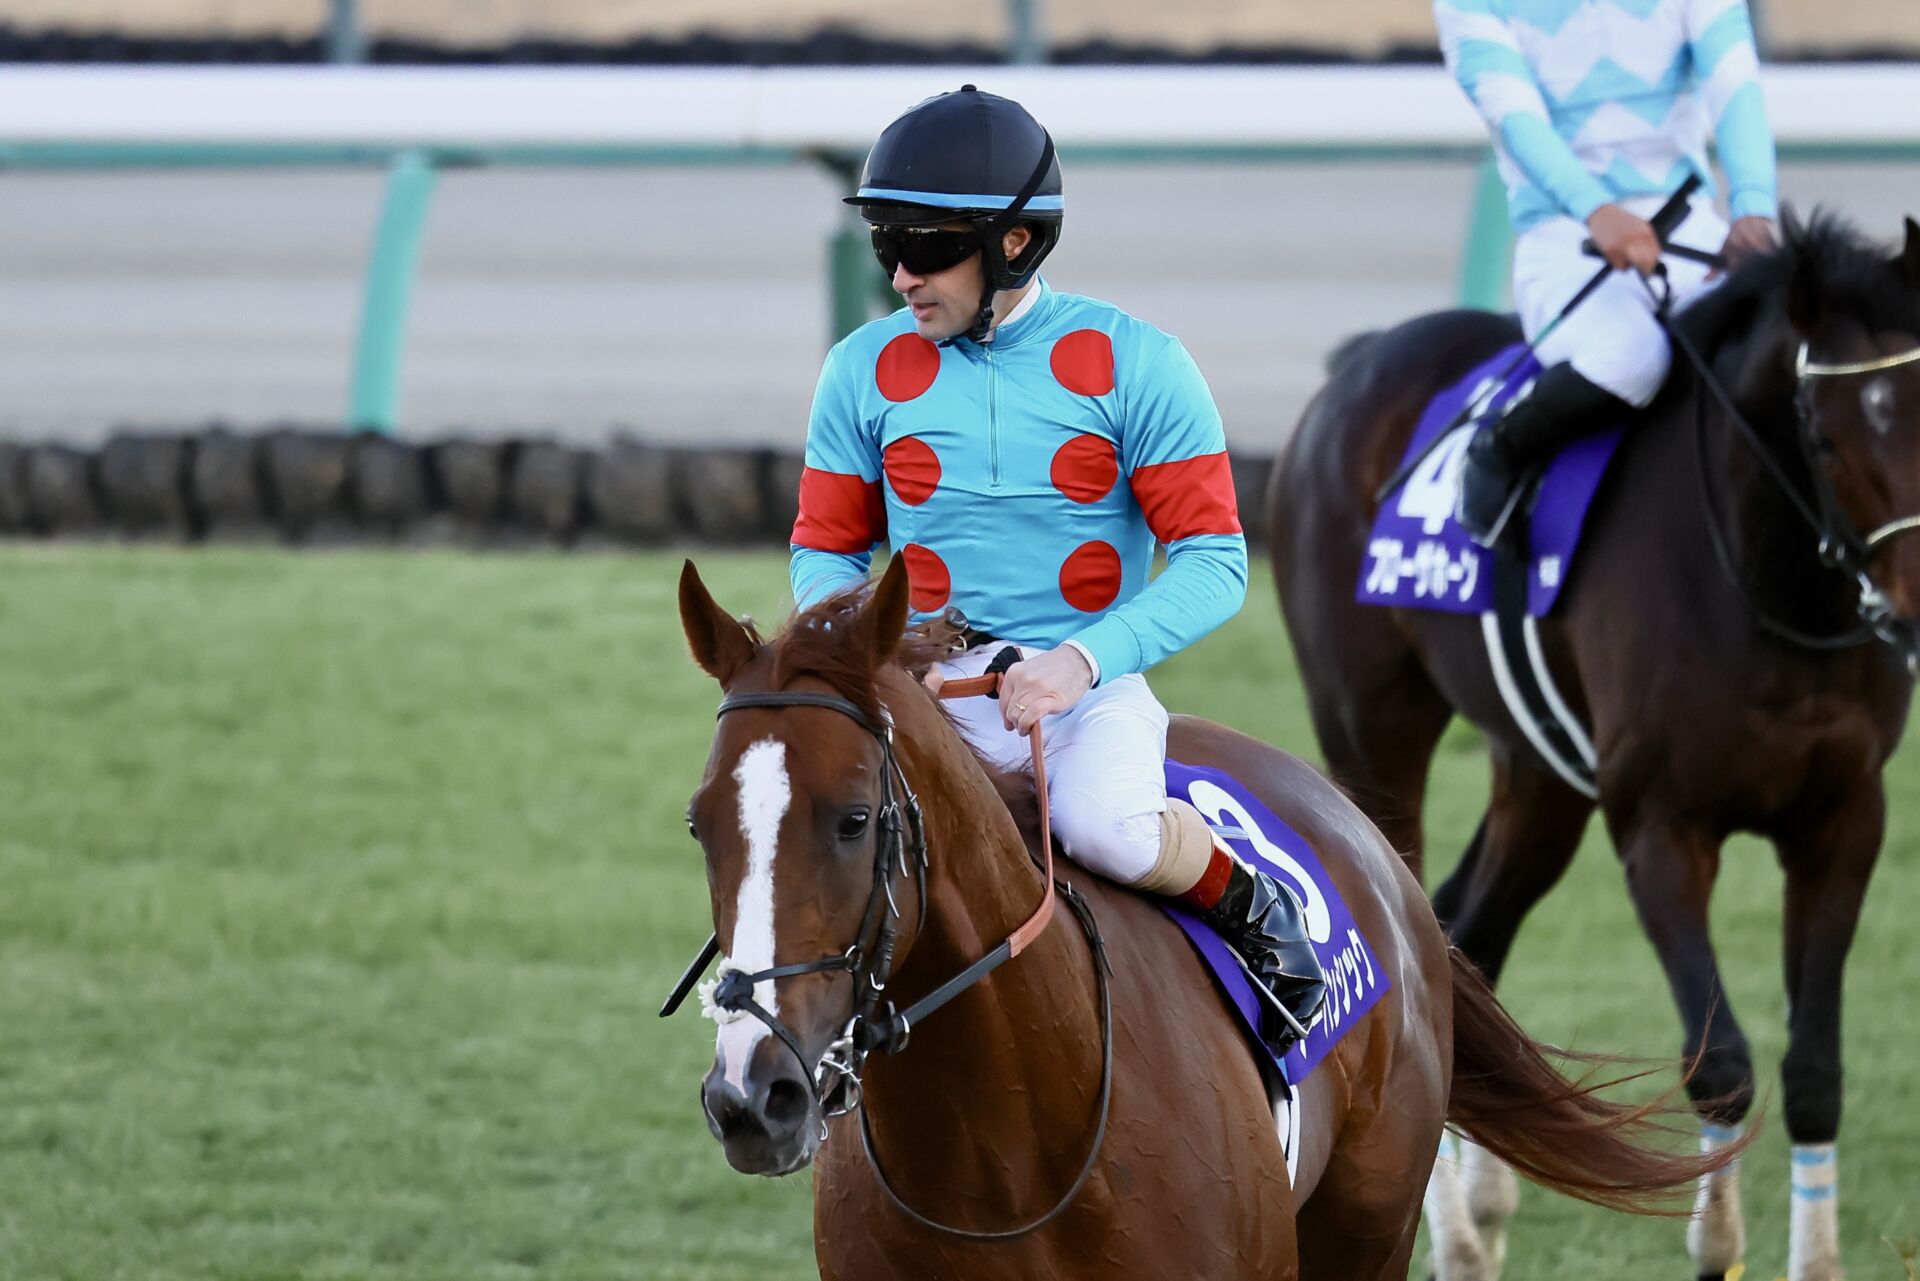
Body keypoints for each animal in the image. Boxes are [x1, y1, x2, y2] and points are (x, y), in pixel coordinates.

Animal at [1270, 212, 1920, 1281]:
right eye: (1826, 437)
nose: (1910, 609)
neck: (1763, 587)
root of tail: (1354, 366)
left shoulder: (1843, 818)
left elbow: (1815, 1067)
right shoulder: (1660, 826)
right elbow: (1724, 1063)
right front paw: (1715, 1245)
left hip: (1540, 779)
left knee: (1469, 929)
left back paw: (1483, 1205)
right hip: (1372, 730)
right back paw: (1456, 1234)